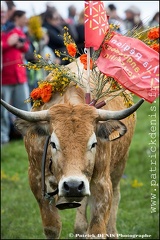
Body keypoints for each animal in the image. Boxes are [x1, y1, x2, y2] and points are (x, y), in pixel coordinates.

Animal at [0, 58, 144, 240]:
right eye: (53, 143)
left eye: (93, 143)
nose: (74, 185)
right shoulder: (36, 178)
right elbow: (52, 227)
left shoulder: (102, 183)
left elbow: (97, 229)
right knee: (81, 218)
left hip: (119, 166)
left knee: (116, 198)